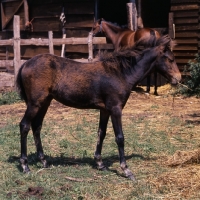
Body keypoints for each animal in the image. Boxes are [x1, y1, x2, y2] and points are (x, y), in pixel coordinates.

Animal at [16, 34, 181, 181]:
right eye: (170, 59)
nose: (178, 78)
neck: (121, 72)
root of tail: (25, 64)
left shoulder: (105, 110)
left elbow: (101, 133)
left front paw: (100, 163)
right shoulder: (115, 108)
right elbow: (120, 137)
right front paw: (126, 170)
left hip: (45, 102)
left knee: (37, 126)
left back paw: (43, 161)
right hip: (35, 103)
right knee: (24, 125)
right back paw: (25, 166)